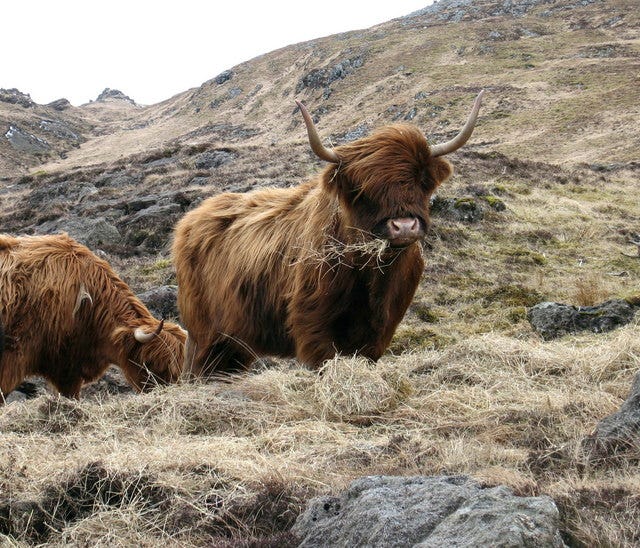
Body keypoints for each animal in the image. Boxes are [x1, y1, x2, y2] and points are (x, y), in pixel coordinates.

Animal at [173, 91, 484, 375]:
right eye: (362, 189)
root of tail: (191, 219)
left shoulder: (380, 332)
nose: (404, 226)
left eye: (421, 181)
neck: (373, 277)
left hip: (235, 340)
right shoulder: (312, 324)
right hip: (202, 332)